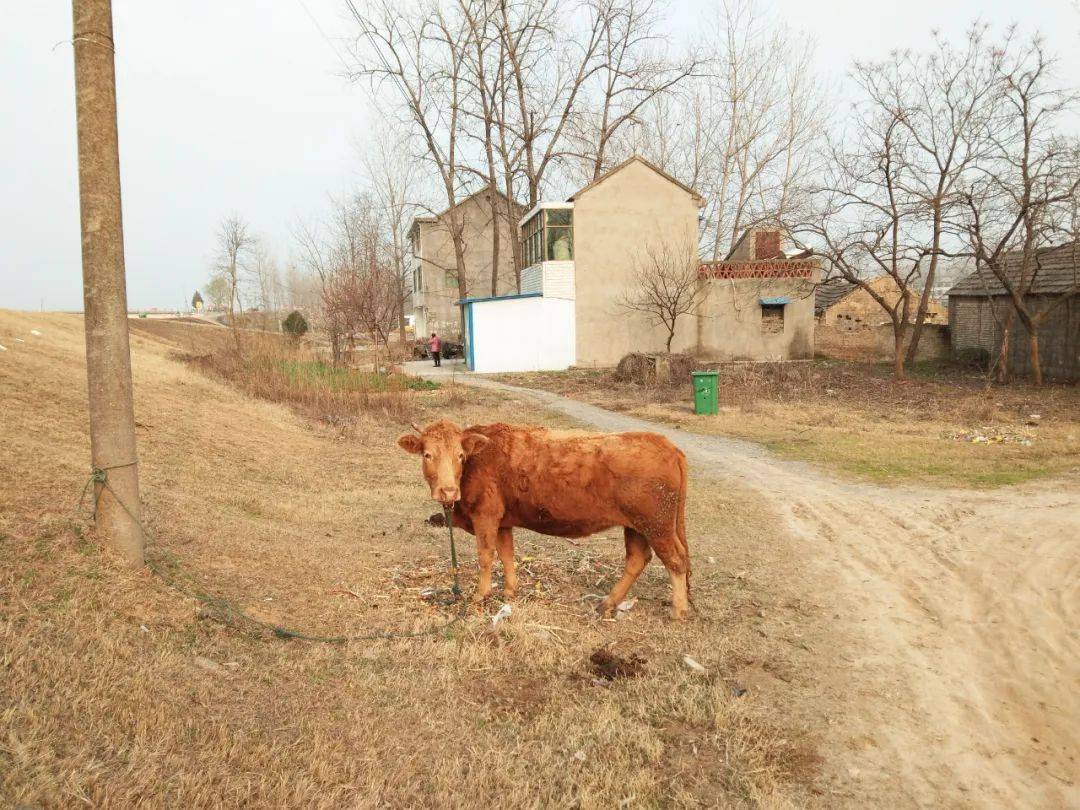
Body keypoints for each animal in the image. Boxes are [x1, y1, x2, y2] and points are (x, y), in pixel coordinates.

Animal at [399, 421, 691, 617]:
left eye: (460, 455)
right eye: (428, 455)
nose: (448, 491)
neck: (476, 462)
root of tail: (667, 445)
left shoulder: (485, 516)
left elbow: (485, 556)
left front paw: (481, 595)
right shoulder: (503, 522)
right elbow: (507, 554)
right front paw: (510, 591)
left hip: (657, 527)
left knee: (676, 561)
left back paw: (678, 611)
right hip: (637, 527)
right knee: (637, 559)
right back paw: (607, 603)